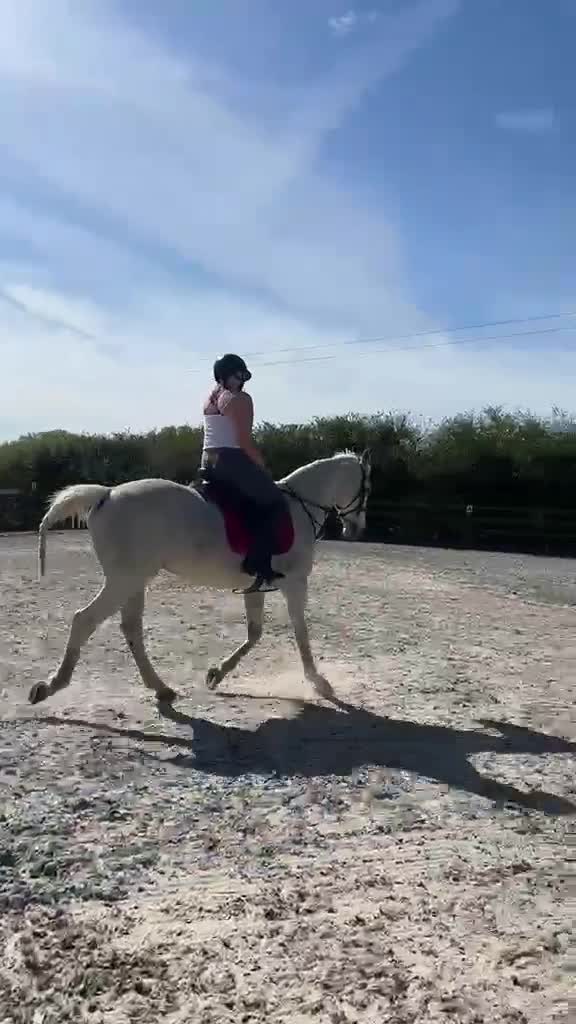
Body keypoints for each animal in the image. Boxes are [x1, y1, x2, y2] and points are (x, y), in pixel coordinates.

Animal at [28, 450, 371, 708]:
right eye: (366, 488)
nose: (355, 529)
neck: (298, 508)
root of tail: (106, 494)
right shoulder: (296, 583)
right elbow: (301, 633)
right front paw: (320, 683)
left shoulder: (256, 586)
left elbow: (255, 633)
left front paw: (216, 674)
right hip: (124, 580)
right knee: (85, 620)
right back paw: (51, 685)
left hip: (134, 581)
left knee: (131, 629)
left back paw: (161, 688)